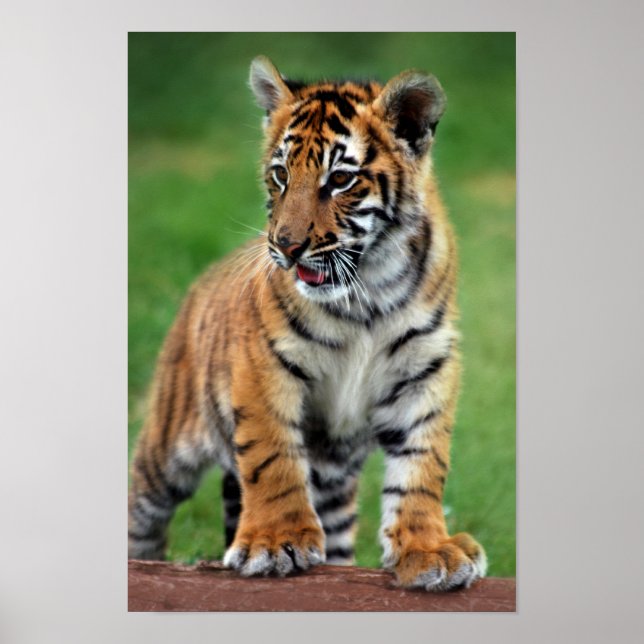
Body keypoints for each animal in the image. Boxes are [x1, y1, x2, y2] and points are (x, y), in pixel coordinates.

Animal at [128, 55, 487, 591]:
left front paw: (428, 549)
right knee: (142, 509)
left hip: (335, 489)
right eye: (280, 174)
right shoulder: (263, 367)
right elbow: (272, 456)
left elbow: (423, 468)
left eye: (339, 180)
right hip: (166, 445)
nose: (286, 245)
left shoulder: (426, 370)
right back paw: (144, 564)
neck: (367, 293)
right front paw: (275, 542)